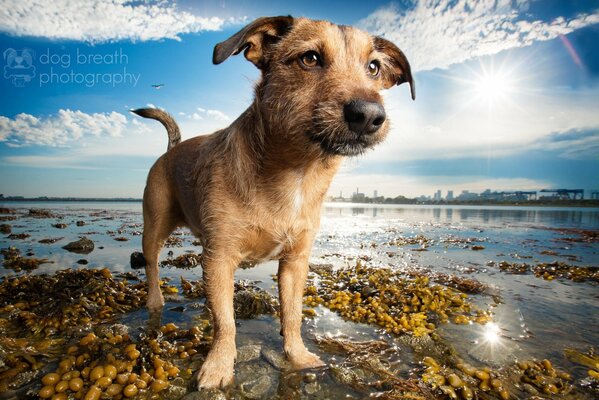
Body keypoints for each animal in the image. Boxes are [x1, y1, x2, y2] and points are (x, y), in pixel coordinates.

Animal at [135, 14, 418, 388]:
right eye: (309, 59)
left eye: (373, 67)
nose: (371, 115)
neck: (298, 173)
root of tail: (172, 150)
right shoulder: (218, 259)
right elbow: (225, 322)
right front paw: (219, 365)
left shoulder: (295, 263)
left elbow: (292, 315)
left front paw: (297, 356)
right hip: (153, 227)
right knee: (151, 265)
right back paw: (154, 301)